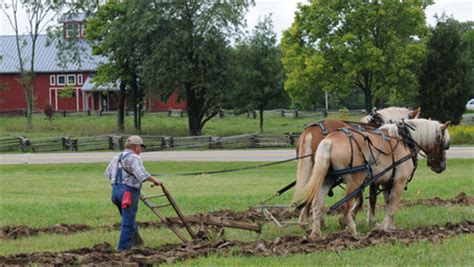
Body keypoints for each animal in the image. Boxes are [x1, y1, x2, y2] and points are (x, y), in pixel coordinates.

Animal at [300, 119, 452, 241]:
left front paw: (391, 227)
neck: (405, 141)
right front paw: (382, 228)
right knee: (345, 205)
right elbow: (392, 205)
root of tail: (329, 140)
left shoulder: (386, 182)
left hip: (327, 178)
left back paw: (315, 233)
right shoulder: (399, 181)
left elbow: (387, 203)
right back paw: (352, 231)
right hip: (355, 181)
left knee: (316, 204)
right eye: (445, 145)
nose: (442, 166)